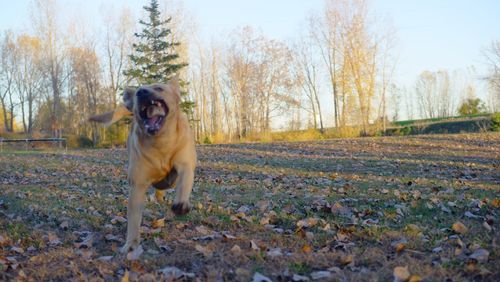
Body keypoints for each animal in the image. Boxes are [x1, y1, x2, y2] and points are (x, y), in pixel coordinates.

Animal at [89, 78, 194, 254]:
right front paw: (130, 244)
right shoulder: (137, 186)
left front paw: (181, 203)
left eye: (159, 88)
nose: (141, 92)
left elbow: (184, 181)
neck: (160, 143)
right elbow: (133, 218)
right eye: (138, 90)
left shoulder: (185, 162)